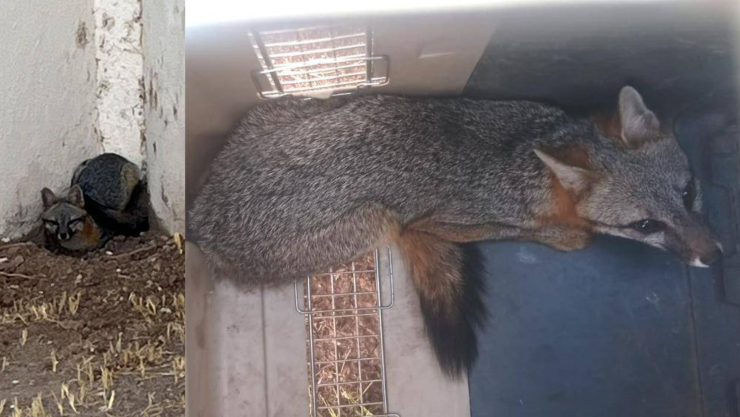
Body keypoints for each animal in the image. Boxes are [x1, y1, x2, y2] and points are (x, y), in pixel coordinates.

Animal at [189, 86, 723, 377]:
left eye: (688, 193)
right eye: (645, 225)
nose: (715, 256)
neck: (533, 157)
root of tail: (200, 222)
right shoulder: (430, 222)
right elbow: (567, 237)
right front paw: (567, 236)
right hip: (375, 218)